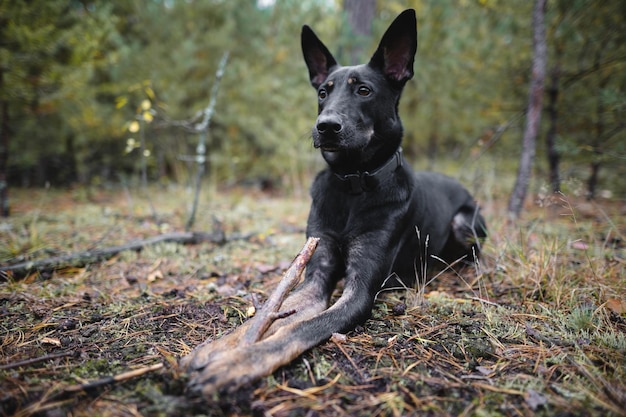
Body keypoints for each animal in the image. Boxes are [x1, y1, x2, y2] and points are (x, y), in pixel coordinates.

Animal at [178, 8, 486, 390]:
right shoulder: (316, 273)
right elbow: (266, 316)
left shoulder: (360, 290)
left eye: (364, 90)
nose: (325, 126)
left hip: (464, 223)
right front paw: (216, 349)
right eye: (323, 92)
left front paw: (240, 362)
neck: (352, 185)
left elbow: (301, 328)